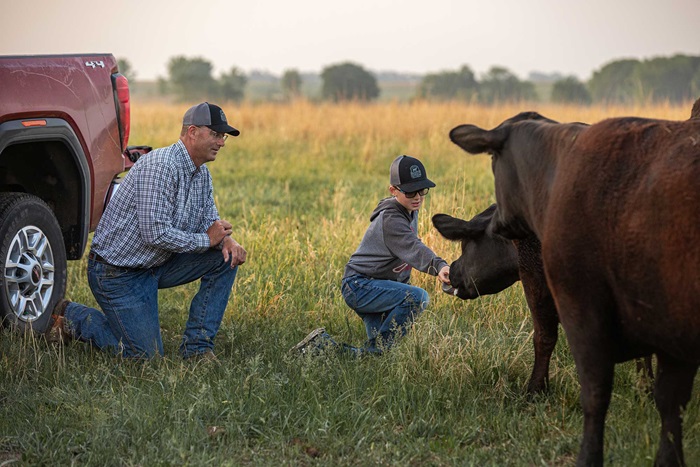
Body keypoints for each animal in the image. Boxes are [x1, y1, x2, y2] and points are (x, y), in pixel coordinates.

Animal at [452, 111, 696, 466]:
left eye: (467, 243)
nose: (452, 273)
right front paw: (644, 388)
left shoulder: (547, 282)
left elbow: (545, 337)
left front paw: (535, 389)